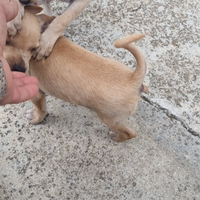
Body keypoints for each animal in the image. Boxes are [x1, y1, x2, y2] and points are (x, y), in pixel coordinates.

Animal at [4, 6, 148, 142]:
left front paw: (36, 119)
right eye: (6, 41)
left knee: (130, 133)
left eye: (33, 49)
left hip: (111, 119)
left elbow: (41, 110)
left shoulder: (37, 95)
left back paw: (117, 137)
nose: (20, 68)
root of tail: (133, 79)